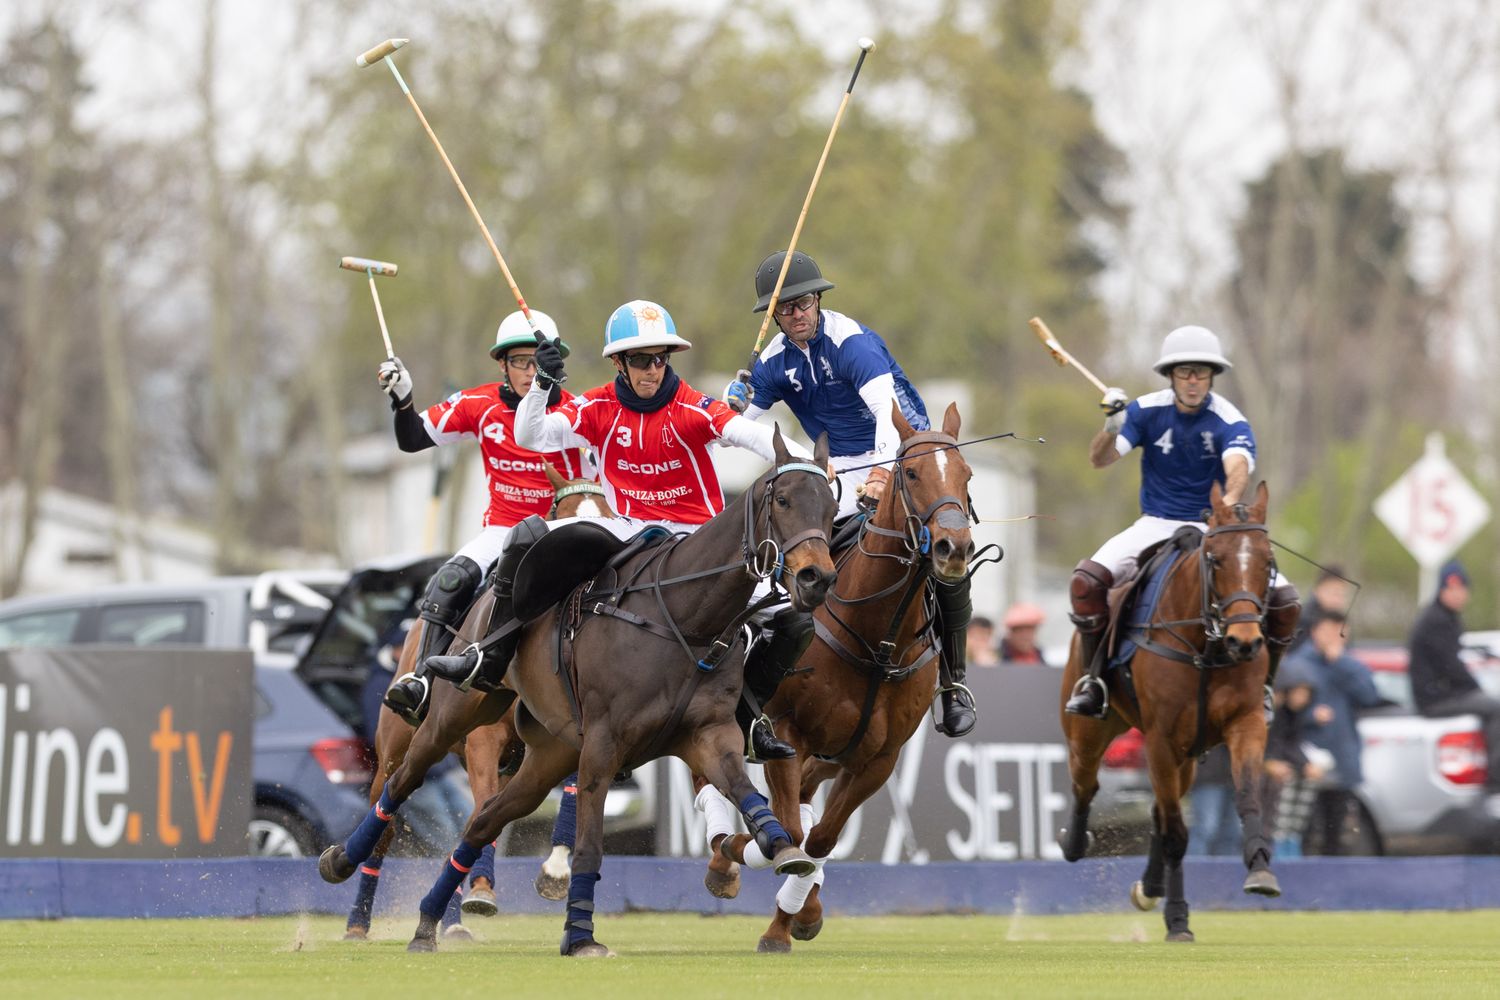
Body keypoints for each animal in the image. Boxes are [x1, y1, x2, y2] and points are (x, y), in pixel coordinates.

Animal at [330, 470, 609, 941]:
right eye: (563, 514)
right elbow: (483, 809)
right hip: (396, 749)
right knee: (387, 820)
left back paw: (452, 920)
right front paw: (481, 889)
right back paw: (357, 920)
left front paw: (553, 872)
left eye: (609, 514)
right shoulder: (483, 741)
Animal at [399, 428, 840, 953]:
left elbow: (745, 792)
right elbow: (589, 845)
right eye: (785, 500)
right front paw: (580, 936)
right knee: (403, 778)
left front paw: (778, 847)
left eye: (832, 508)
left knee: (485, 818)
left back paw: (426, 922)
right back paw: (348, 863)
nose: (818, 578)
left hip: (549, 753)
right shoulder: (602, 743)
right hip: (457, 714)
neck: (685, 617)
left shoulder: (709, 733)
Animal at [708, 404, 978, 953]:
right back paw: (722, 857)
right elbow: (791, 834)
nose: (954, 548)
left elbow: (821, 839)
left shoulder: (879, 758)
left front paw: (798, 916)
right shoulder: (788, 735)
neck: (876, 641)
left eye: (966, 475)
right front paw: (759, 874)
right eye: (911, 472)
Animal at [1056, 479, 1278, 941]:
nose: (1246, 642)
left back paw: (1151, 886)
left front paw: (1260, 871)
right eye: (1215, 559)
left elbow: (1247, 797)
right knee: (1086, 782)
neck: (1207, 645)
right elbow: (1177, 832)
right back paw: (1074, 842)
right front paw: (1178, 920)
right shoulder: (1159, 738)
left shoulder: (1246, 724)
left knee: (1159, 807)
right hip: (1089, 730)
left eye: (1268, 561)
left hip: (1187, 756)